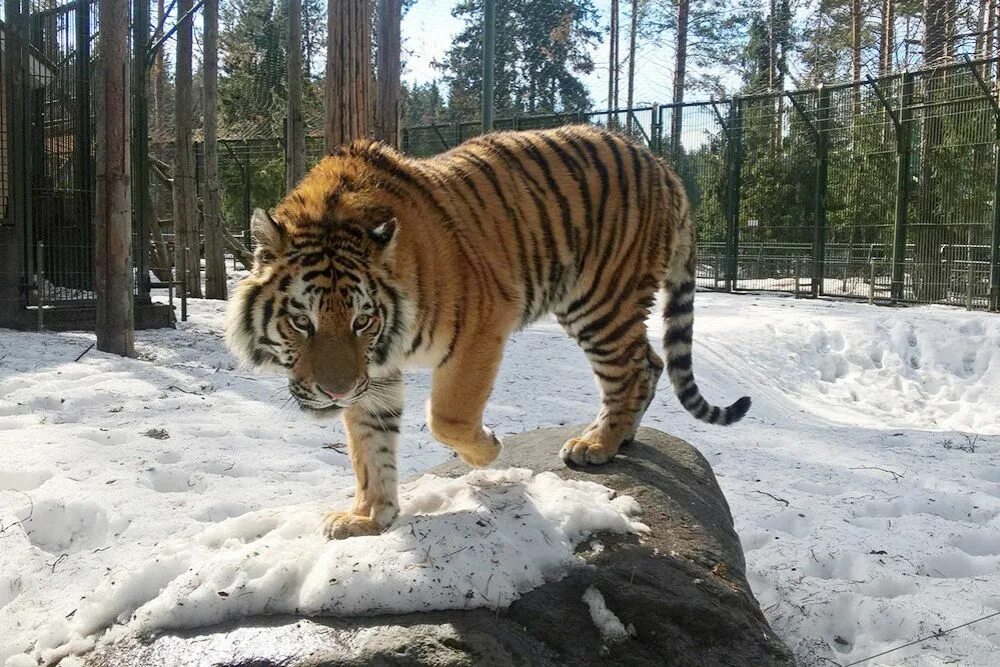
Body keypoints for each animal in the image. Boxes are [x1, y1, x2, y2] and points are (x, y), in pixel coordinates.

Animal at [223, 126, 748, 544]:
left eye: (360, 321)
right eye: (302, 322)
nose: (336, 392)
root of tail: (662, 165)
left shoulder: (480, 326)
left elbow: (447, 417)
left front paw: (488, 450)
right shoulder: (376, 373)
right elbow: (370, 447)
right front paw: (370, 518)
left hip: (600, 301)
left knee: (633, 370)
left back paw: (596, 446)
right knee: (652, 363)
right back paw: (622, 440)